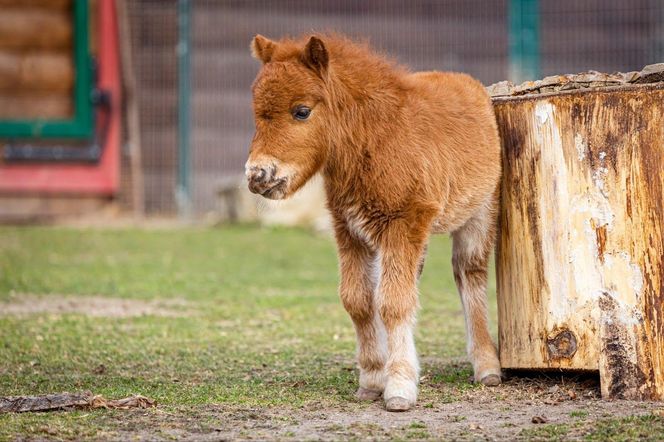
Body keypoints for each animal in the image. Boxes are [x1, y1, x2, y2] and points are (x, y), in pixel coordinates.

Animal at [246, 33, 500, 410]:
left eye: (301, 111)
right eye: (257, 115)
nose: (258, 176)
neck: (376, 140)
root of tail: (471, 84)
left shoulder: (403, 224)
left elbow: (393, 304)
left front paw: (399, 388)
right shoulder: (349, 230)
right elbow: (359, 300)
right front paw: (372, 379)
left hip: (477, 214)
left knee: (469, 274)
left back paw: (487, 367)